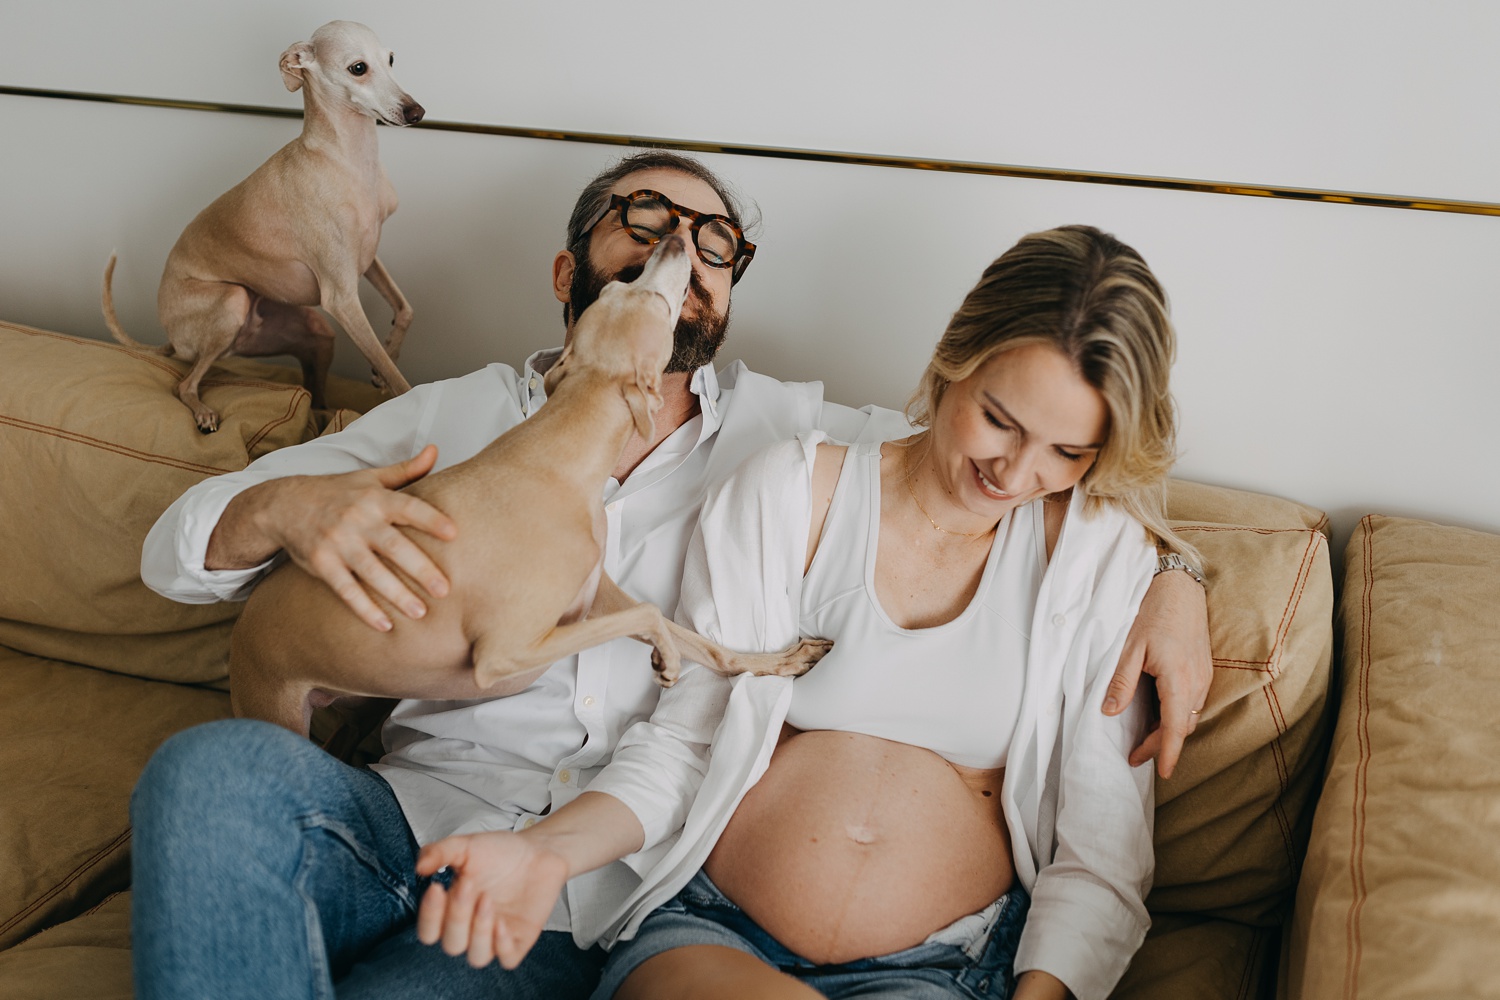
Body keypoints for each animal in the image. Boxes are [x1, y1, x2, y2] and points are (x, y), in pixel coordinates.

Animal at [101, 20, 423, 434]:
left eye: (391, 59)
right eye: (358, 68)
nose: (417, 112)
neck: (344, 158)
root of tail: (171, 339)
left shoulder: (367, 261)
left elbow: (404, 310)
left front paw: (385, 361)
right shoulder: (342, 296)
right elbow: (400, 379)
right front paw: (400, 387)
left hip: (313, 334)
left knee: (315, 394)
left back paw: (320, 416)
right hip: (231, 301)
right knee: (185, 384)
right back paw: (203, 412)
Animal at [226, 235, 834, 734]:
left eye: (624, 287)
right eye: (646, 298)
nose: (674, 239)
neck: (557, 458)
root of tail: (245, 622)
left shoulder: (596, 594)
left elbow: (692, 636)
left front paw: (776, 662)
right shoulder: (504, 653)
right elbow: (647, 617)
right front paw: (666, 656)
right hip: (273, 703)